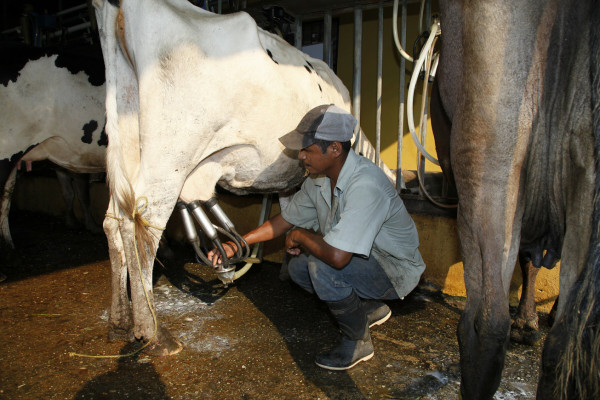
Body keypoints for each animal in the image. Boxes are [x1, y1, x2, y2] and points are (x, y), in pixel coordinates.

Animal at [94, 0, 394, 354]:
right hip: (171, 151)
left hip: (125, 137)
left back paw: (119, 322)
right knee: (143, 226)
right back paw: (154, 334)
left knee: (113, 221)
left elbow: (287, 212)